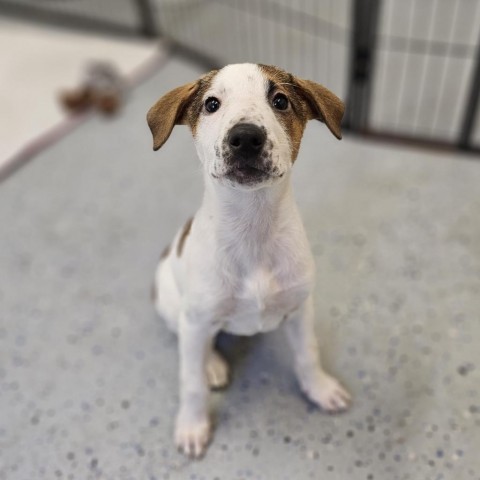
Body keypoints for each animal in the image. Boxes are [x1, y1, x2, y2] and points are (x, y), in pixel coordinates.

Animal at [148, 62, 350, 458]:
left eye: (280, 100)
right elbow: (190, 382)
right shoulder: (197, 318)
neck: (252, 227)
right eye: (211, 104)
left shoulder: (300, 309)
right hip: (176, 309)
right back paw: (211, 365)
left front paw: (319, 388)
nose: (245, 138)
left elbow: (308, 354)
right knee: (188, 337)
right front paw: (192, 426)